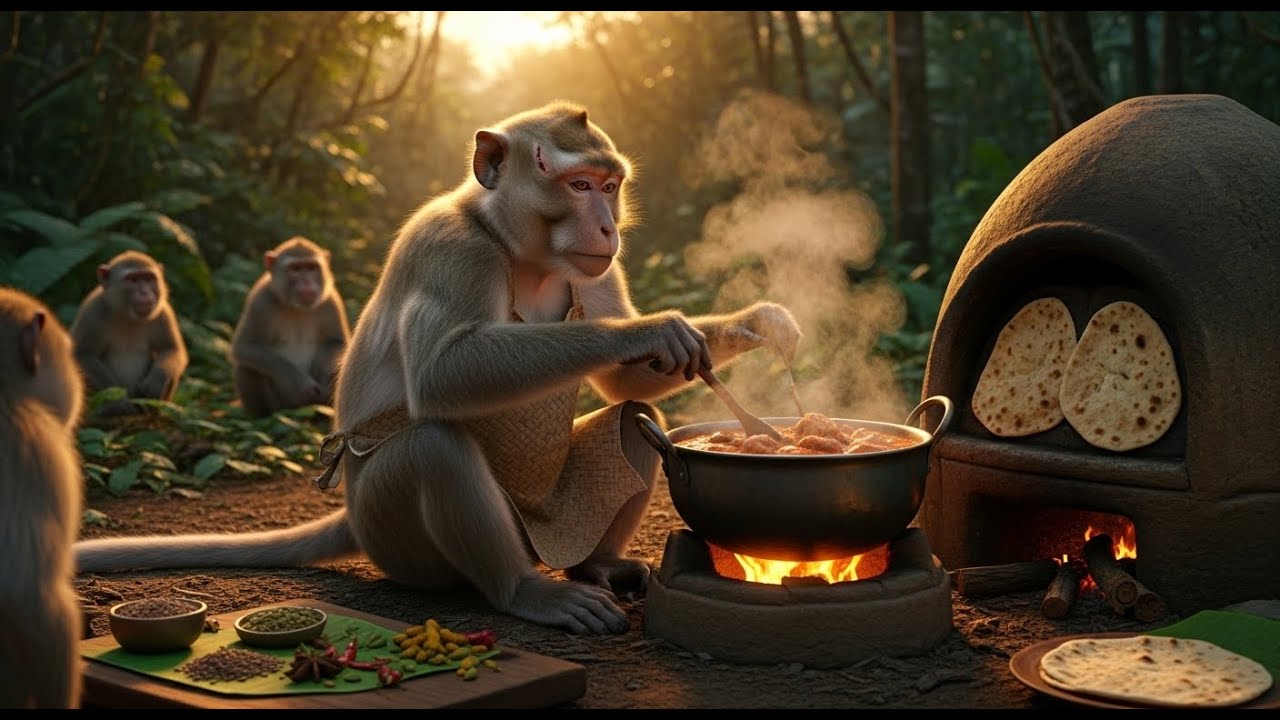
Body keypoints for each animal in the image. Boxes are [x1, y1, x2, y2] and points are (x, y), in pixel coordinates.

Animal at [69, 250, 188, 416]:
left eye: (148, 278)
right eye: (132, 279)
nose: (144, 292)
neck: (127, 316)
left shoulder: (164, 312)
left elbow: (171, 349)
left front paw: (157, 379)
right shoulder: (92, 311)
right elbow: (82, 355)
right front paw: (117, 401)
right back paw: (107, 410)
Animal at [231, 236, 351, 417]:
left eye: (311, 268)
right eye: (295, 269)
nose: (307, 282)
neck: (296, 308)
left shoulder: (331, 302)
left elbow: (338, 343)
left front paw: (322, 372)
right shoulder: (260, 301)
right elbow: (246, 347)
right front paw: (298, 384)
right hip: (282, 406)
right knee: (248, 367)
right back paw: (259, 417)